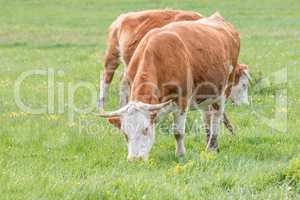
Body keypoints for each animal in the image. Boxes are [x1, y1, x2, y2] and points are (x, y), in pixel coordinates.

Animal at [98, 12, 241, 161]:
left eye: (145, 129)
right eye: (125, 134)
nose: (135, 160)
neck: (159, 56)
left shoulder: (182, 100)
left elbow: (178, 132)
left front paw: (181, 154)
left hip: (224, 90)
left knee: (216, 118)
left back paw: (211, 147)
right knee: (207, 116)